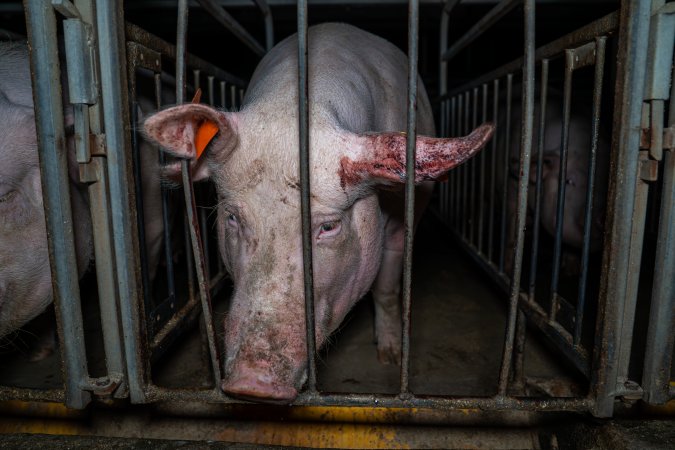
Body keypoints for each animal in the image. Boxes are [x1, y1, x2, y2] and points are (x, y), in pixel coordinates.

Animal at [144, 23, 492, 404]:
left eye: (328, 227)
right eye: (233, 217)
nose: (252, 384)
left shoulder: (401, 224)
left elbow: (386, 288)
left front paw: (389, 357)